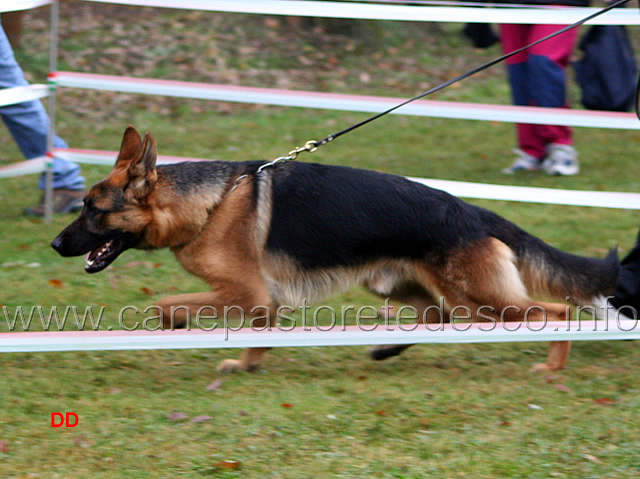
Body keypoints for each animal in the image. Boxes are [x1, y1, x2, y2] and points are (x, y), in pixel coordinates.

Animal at [52, 125, 636, 374]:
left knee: (554, 312)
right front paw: (247, 366)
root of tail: (472, 212)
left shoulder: (245, 294)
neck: (208, 204)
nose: (56, 243)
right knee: (436, 317)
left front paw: (175, 326)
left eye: (92, 210)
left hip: (483, 299)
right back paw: (385, 349)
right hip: (401, 286)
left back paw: (552, 367)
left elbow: (165, 304)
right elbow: (259, 339)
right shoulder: (263, 303)